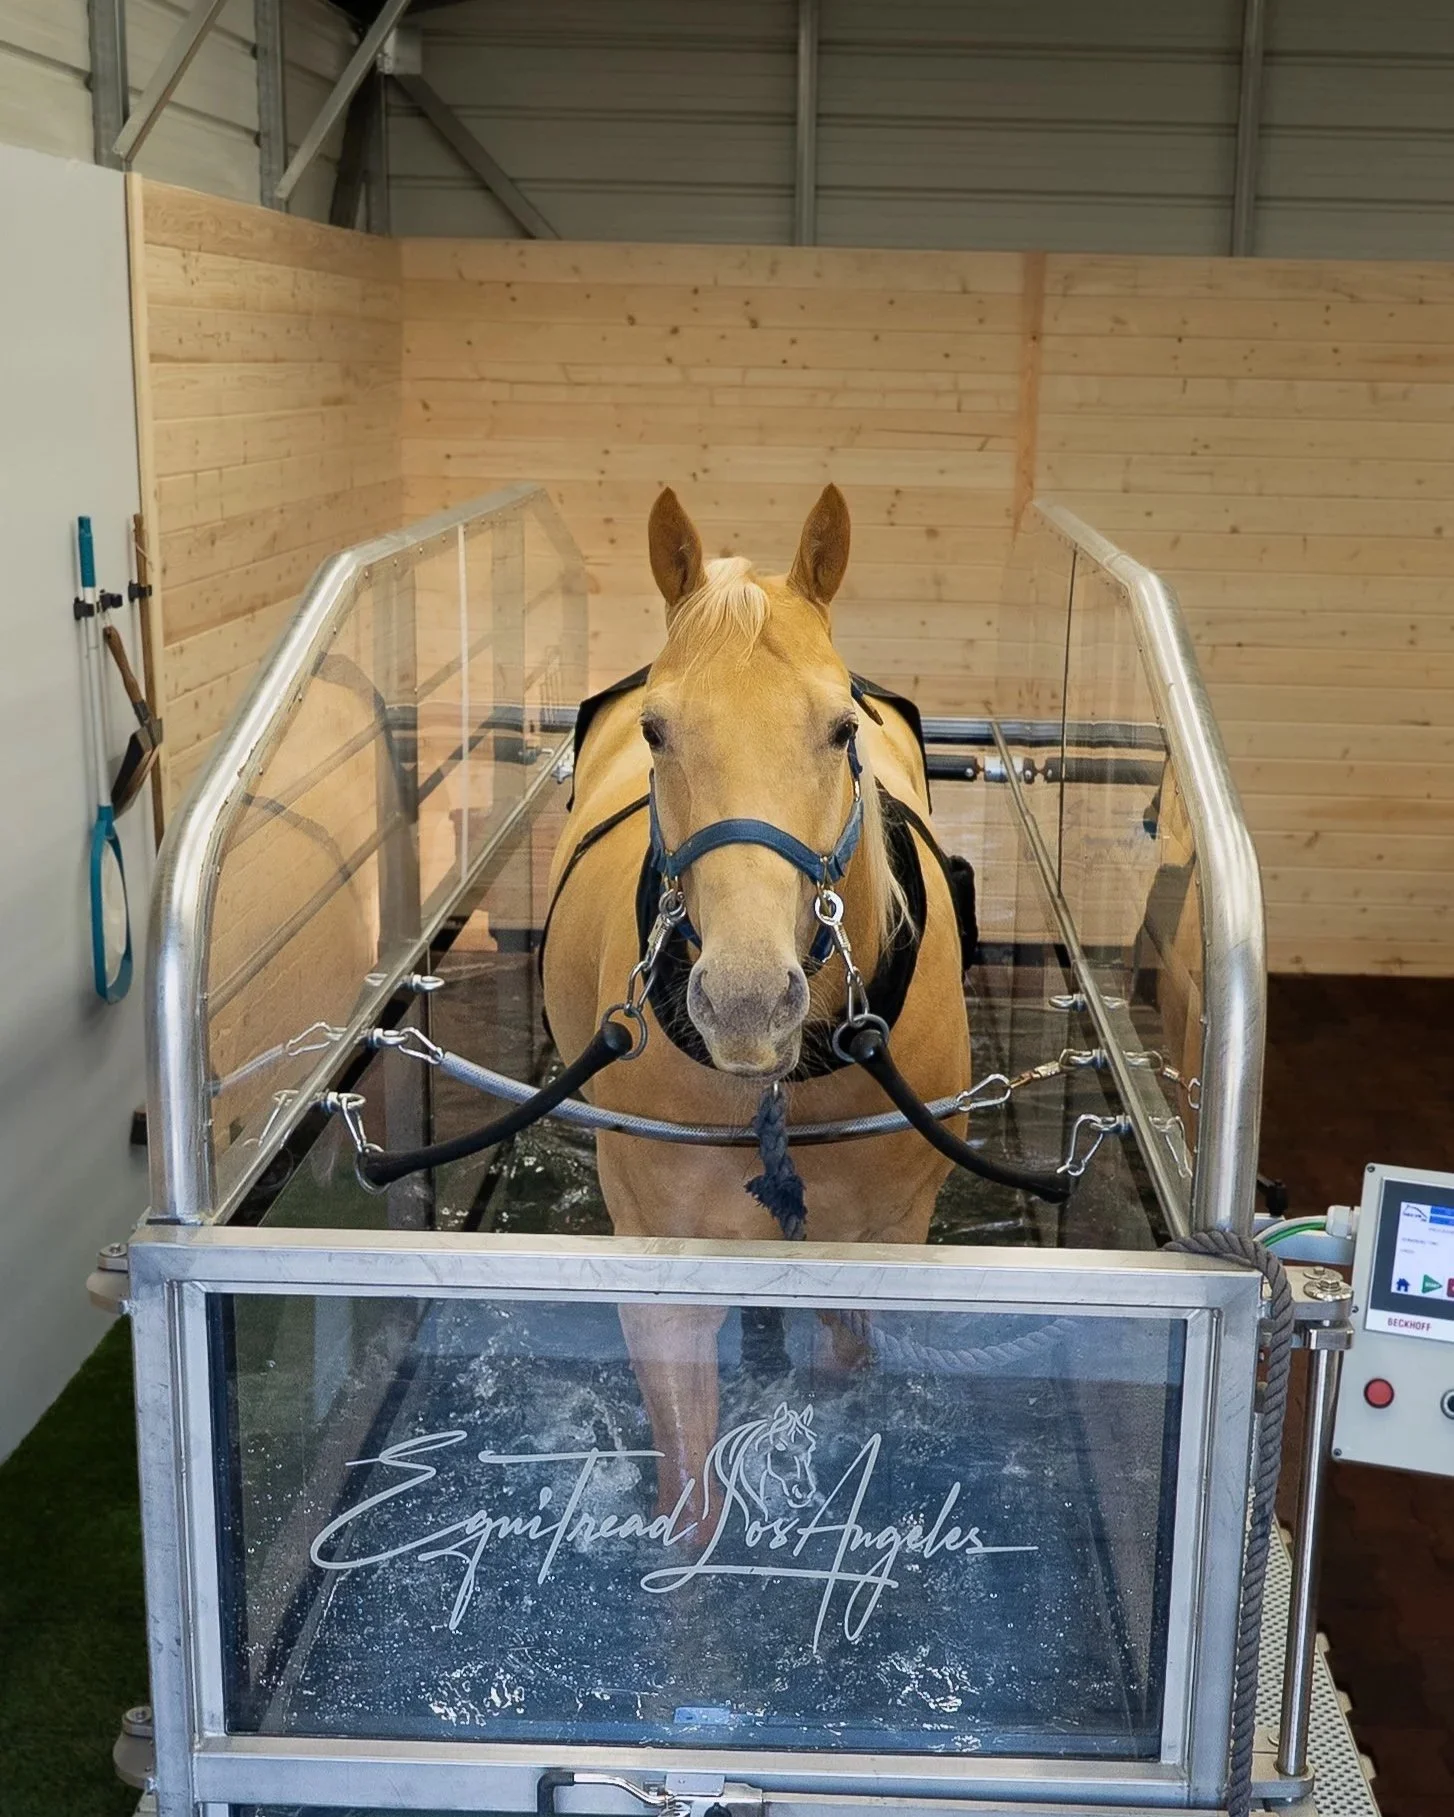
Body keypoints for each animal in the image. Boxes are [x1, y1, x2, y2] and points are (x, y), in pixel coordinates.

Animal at [541, 484, 971, 1525]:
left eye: (843, 729)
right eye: (655, 731)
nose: (744, 1004)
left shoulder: (882, 1242)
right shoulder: (661, 1265)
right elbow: (691, 1498)